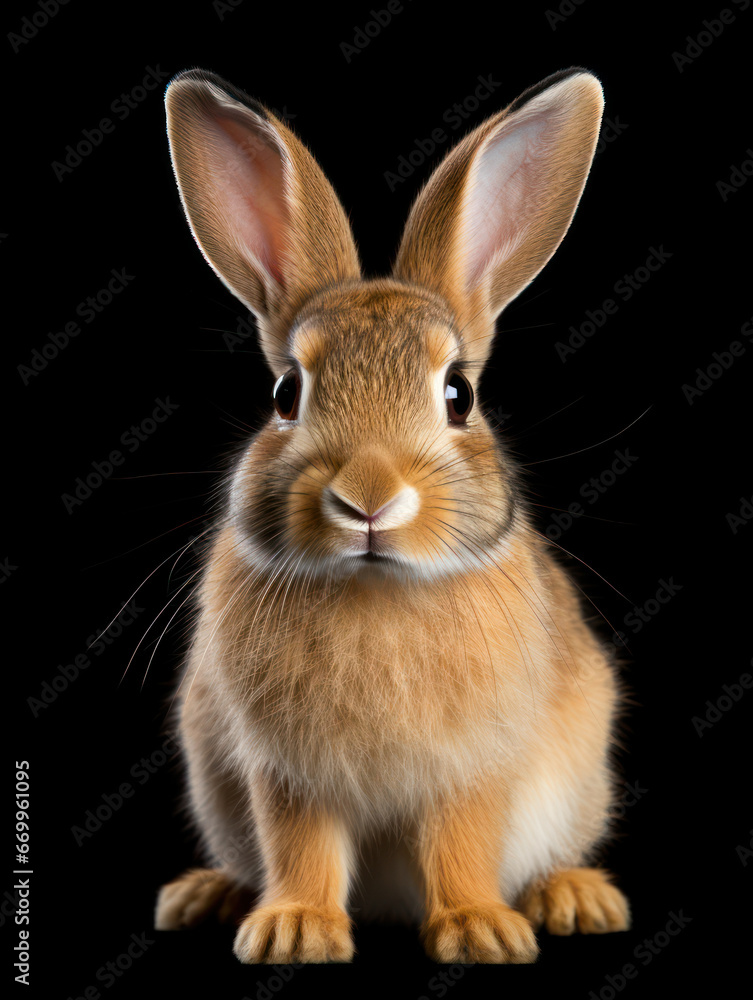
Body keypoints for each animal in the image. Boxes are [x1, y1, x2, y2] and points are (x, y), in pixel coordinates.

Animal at [154, 65, 631, 965]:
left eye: (458, 395)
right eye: (286, 395)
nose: (368, 498)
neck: (373, 589)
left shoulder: (474, 766)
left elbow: (461, 840)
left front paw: (479, 930)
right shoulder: (285, 773)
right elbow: (300, 844)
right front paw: (295, 931)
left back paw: (575, 897)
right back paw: (207, 895)